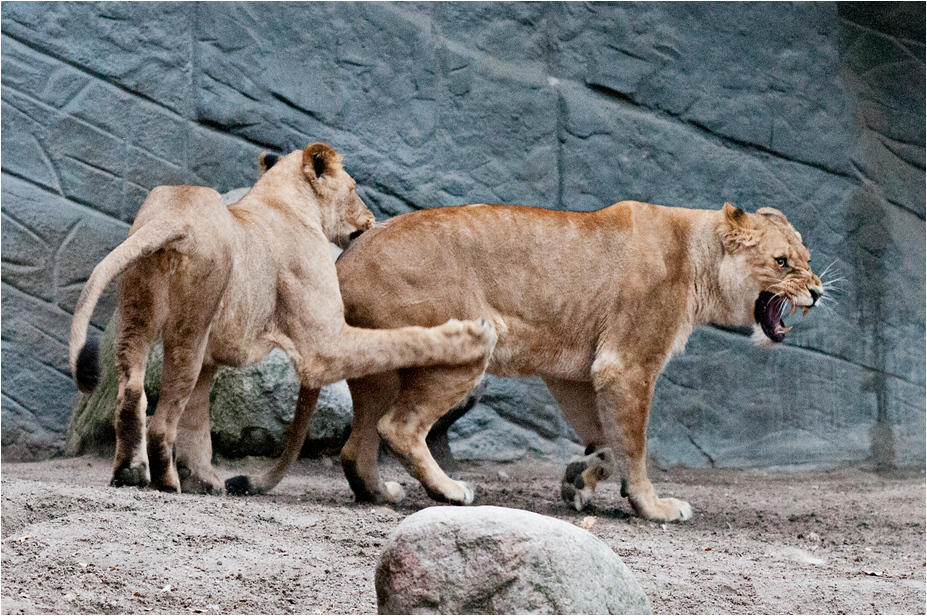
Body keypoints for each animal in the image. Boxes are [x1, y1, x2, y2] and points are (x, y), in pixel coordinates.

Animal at [68, 142, 496, 495]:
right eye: (354, 187)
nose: (372, 218)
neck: (283, 200)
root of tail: (177, 218)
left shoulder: (212, 353)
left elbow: (198, 421)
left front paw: (204, 479)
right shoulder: (323, 346)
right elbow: (402, 338)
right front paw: (472, 334)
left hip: (136, 315)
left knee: (131, 394)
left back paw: (129, 474)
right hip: (189, 324)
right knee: (161, 420)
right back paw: (165, 482)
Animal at [326, 200, 824, 522]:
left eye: (807, 259)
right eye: (782, 262)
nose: (818, 292)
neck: (699, 259)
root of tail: (343, 262)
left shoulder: (577, 375)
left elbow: (609, 442)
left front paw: (579, 480)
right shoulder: (626, 365)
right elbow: (635, 446)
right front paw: (653, 507)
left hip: (380, 370)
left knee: (356, 445)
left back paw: (379, 492)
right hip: (466, 343)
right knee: (399, 427)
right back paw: (450, 491)